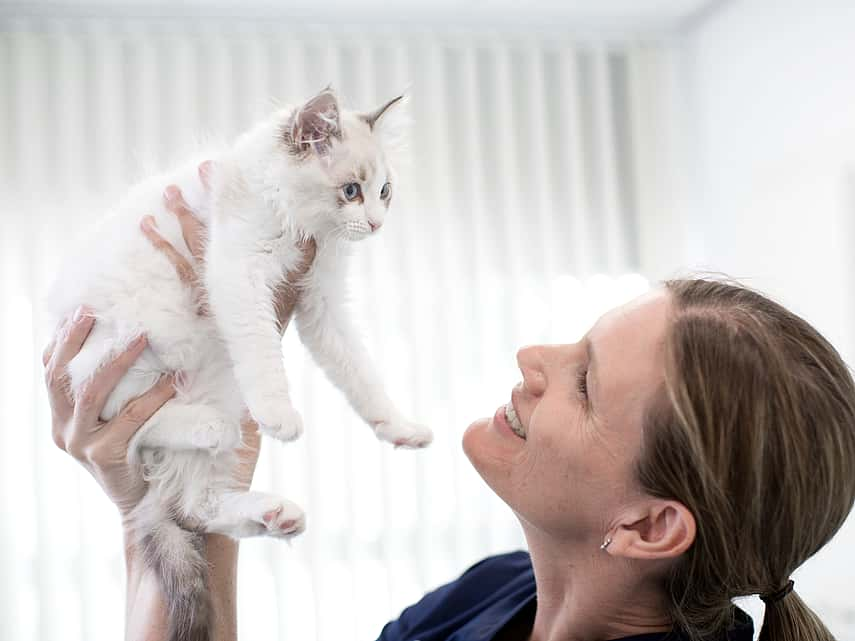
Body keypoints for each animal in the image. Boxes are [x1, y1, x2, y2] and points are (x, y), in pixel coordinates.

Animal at [47, 87, 434, 640]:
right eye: (351, 191)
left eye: (384, 192)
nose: (378, 224)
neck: (301, 223)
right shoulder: (239, 275)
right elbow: (262, 353)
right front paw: (280, 414)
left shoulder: (323, 303)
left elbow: (361, 375)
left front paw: (399, 428)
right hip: (130, 346)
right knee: (126, 419)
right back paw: (207, 427)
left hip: (218, 393)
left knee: (196, 505)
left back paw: (275, 512)